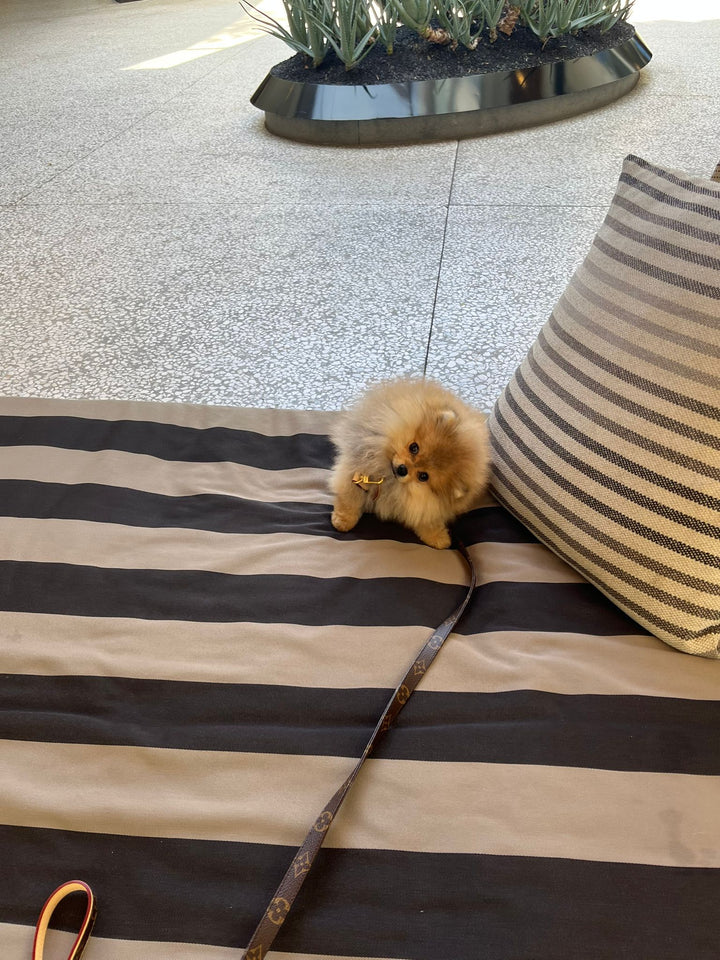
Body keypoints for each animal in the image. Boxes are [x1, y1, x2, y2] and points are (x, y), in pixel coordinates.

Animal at [329, 378, 489, 549]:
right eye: (414, 447)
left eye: (423, 476)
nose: (402, 469)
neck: (389, 479)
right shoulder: (358, 472)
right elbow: (350, 498)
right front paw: (343, 520)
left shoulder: (423, 505)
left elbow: (426, 520)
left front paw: (438, 537)